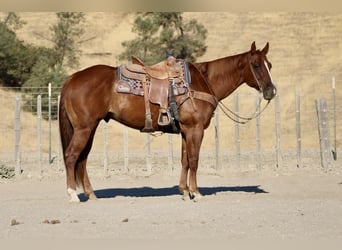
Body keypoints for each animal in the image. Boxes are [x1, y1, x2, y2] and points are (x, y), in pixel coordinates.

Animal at [59, 42, 276, 202]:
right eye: (256, 65)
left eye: (270, 65)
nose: (271, 91)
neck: (203, 81)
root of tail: (72, 78)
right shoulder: (195, 129)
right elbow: (194, 160)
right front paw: (196, 192)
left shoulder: (185, 131)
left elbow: (185, 160)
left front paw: (184, 191)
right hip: (84, 128)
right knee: (71, 156)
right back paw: (72, 194)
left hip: (90, 128)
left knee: (82, 159)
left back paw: (90, 194)